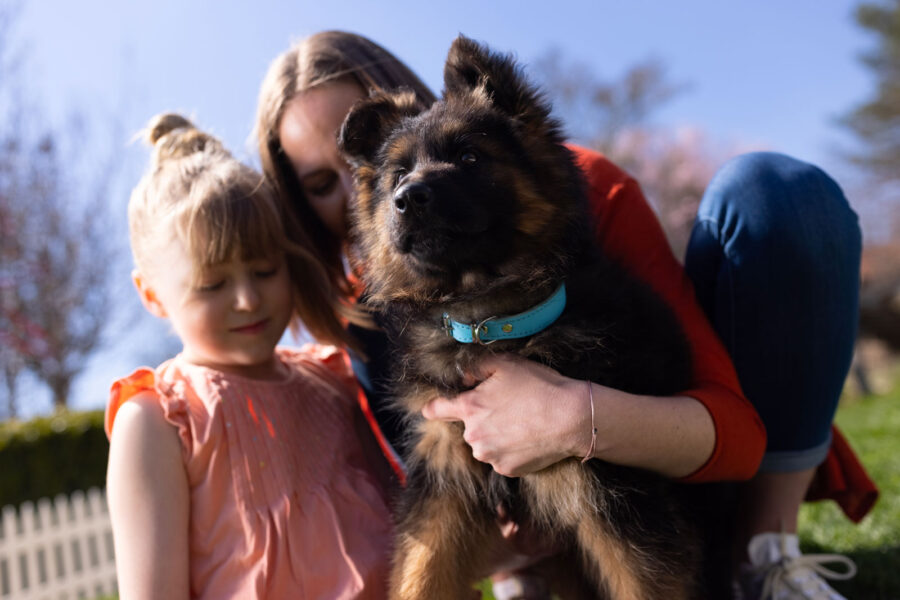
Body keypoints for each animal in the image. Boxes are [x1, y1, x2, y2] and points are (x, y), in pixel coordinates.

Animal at [338, 36, 704, 600]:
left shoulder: (617, 500)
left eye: (469, 157)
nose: (407, 198)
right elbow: (420, 575)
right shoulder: (444, 474)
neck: (488, 322)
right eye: (397, 175)